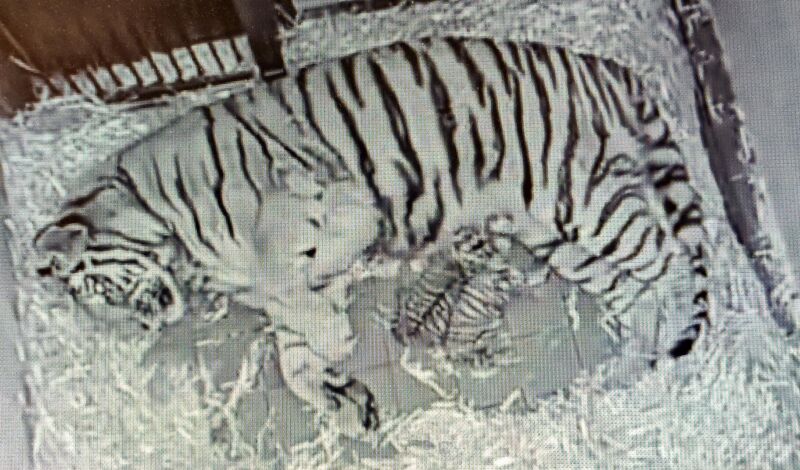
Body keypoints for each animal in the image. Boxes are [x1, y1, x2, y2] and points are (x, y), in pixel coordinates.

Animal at [31, 36, 708, 436]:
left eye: (99, 292)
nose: (148, 321)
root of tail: (600, 64)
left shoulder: (299, 201)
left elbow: (285, 281)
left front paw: (333, 337)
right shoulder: (291, 281)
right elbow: (293, 350)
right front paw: (342, 396)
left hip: (580, 196)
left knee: (670, 261)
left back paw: (680, 360)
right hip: (553, 229)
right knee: (632, 288)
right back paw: (631, 369)